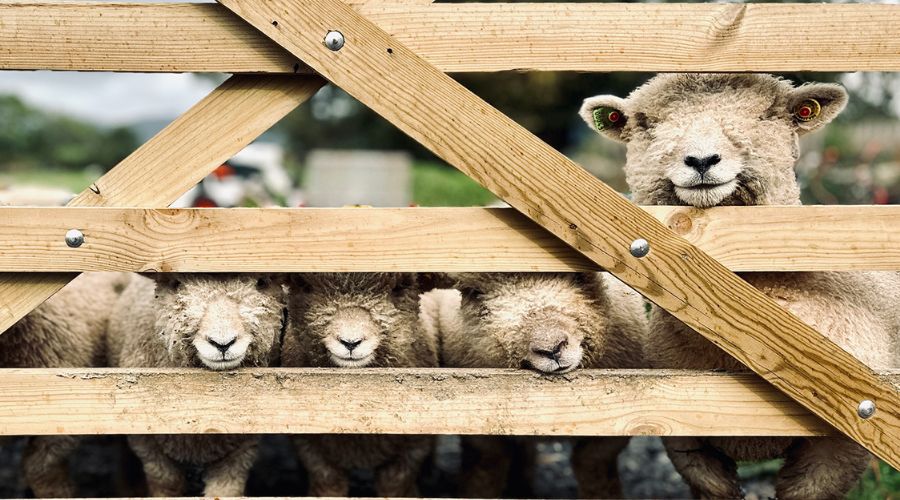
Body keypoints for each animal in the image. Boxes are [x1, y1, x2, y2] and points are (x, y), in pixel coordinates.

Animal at [107, 274, 286, 496]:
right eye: (176, 284)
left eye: (261, 282)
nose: (222, 344)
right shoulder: (147, 443)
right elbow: (167, 482)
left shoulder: (242, 448)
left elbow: (225, 489)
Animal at [282, 272, 436, 498]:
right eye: (305, 286)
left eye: (399, 287)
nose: (350, 342)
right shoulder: (309, 445)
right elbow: (329, 483)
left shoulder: (414, 445)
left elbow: (395, 485)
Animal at [422, 274, 648, 500]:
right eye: (476, 293)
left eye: (579, 277)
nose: (553, 349)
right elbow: (487, 467)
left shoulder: (613, 430)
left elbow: (593, 465)